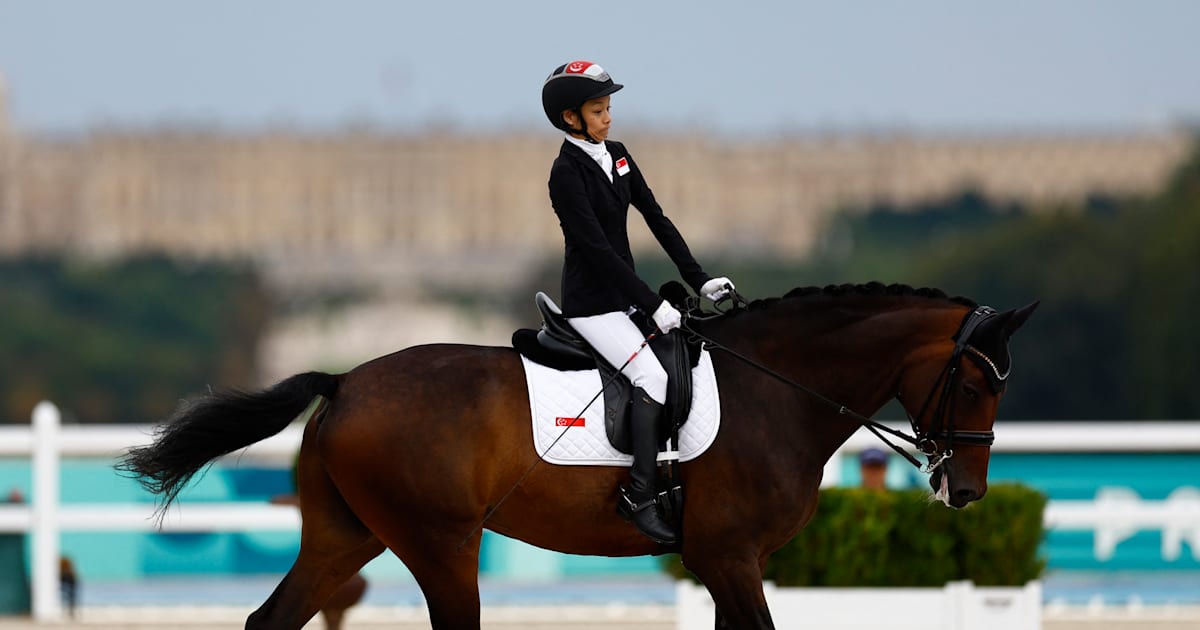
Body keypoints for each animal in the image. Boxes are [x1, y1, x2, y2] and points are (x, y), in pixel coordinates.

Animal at [119, 280, 1041, 628]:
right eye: (975, 384)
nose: (966, 492)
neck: (775, 389)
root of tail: (344, 379)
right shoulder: (728, 556)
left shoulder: (726, 564)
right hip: (439, 543)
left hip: (347, 535)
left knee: (271, 619)